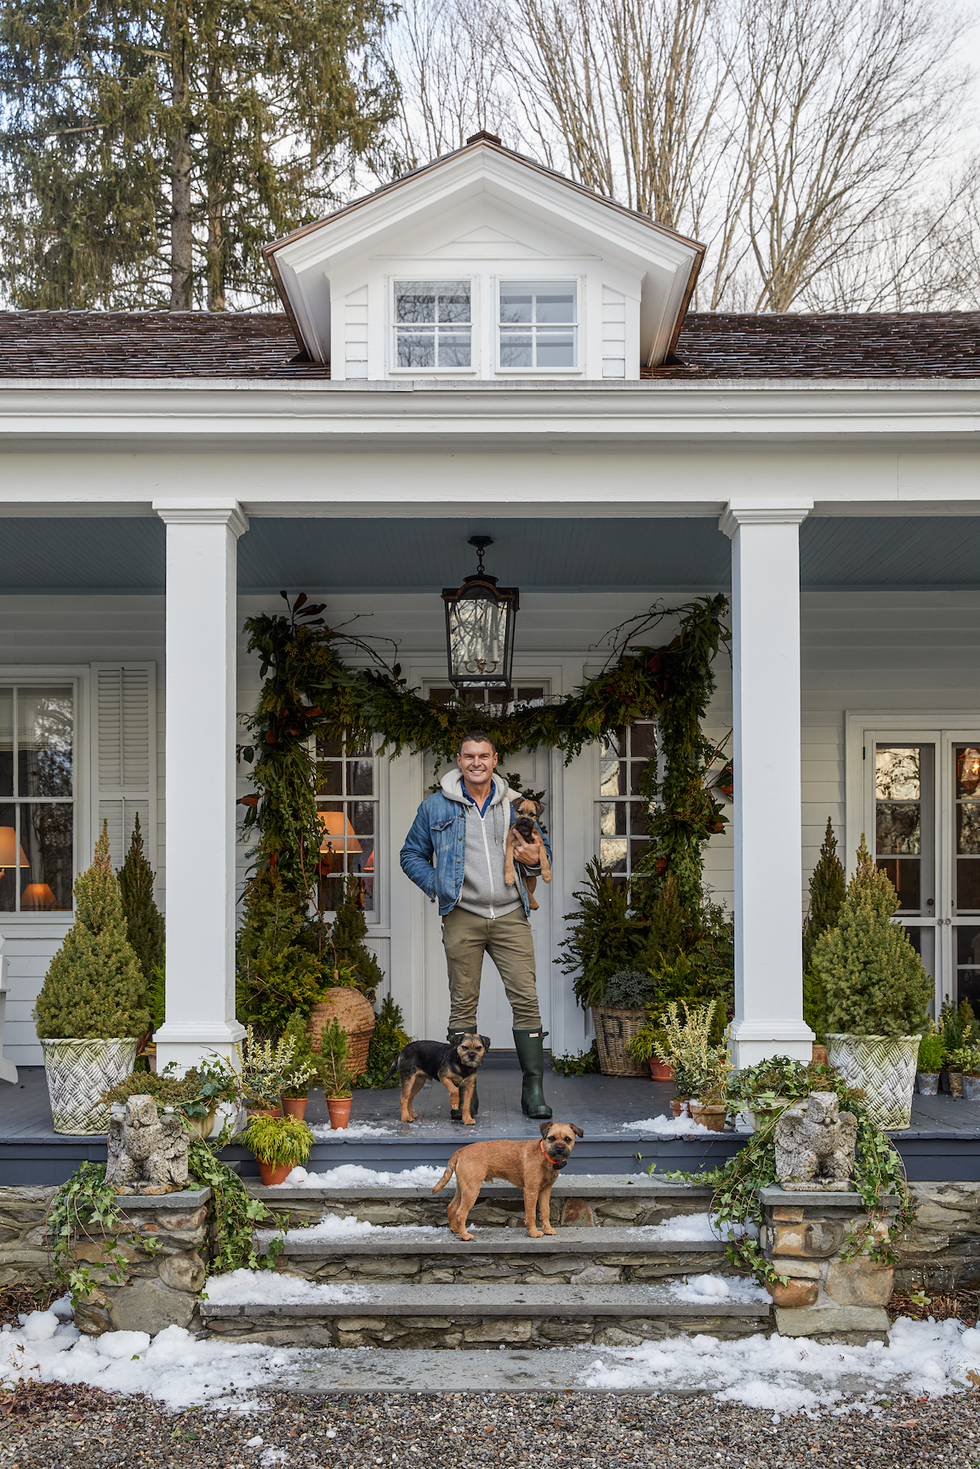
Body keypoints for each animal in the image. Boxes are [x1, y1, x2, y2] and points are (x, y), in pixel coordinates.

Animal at [431, 1122, 581, 1239]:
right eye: (551, 1138)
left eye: (568, 1139)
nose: (560, 1148)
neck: (544, 1155)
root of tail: (460, 1151)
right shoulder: (531, 1191)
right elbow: (531, 1214)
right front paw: (533, 1233)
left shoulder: (545, 1191)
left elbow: (545, 1211)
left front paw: (548, 1229)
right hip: (472, 1190)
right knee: (460, 1213)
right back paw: (464, 1235)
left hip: (463, 1188)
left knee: (452, 1207)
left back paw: (455, 1229)